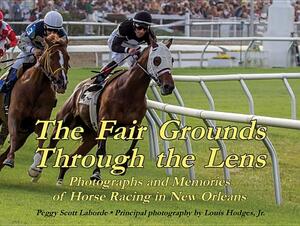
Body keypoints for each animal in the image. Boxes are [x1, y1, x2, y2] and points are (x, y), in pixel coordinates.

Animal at [0, 33, 69, 171]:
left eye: (67, 57)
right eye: (51, 56)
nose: (61, 82)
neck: (36, 88)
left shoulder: (40, 120)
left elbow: (42, 139)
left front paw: (36, 165)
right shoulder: (14, 115)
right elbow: (13, 135)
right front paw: (10, 160)